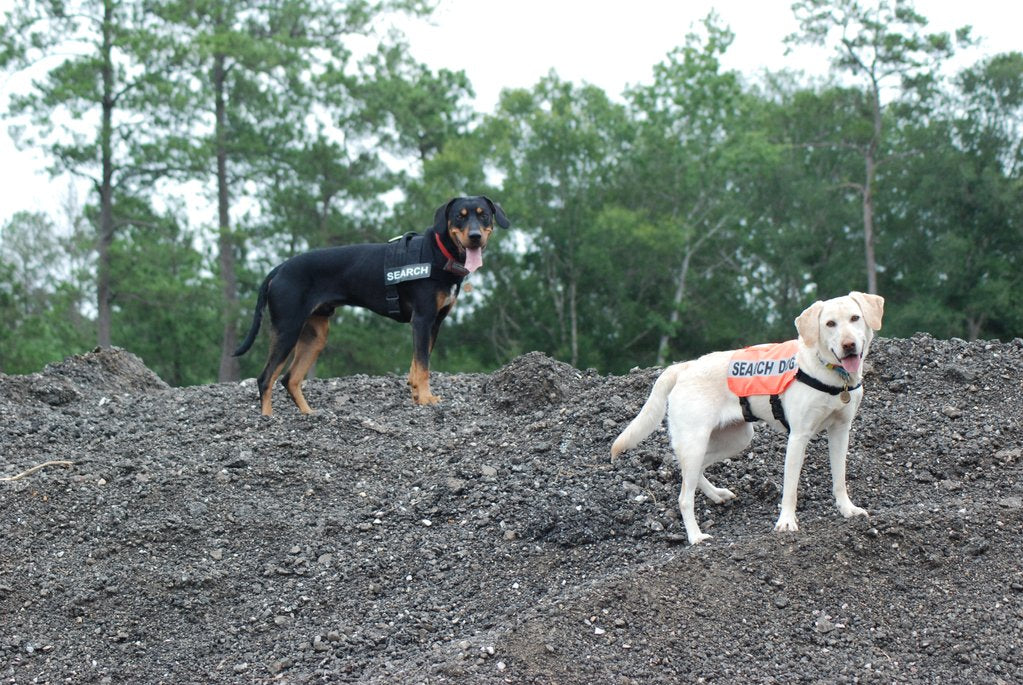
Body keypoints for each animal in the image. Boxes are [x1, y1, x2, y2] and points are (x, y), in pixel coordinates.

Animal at [230, 196, 505, 415]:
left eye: (484, 214)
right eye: (460, 217)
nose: (475, 237)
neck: (438, 253)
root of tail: (279, 269)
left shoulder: (434, 323)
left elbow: (416, 365)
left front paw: (418, 396)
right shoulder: (423, 319)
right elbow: (423, 365)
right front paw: (427, 399)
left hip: (314, 335)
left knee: (290, 379)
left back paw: (309, 413)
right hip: (287, 329)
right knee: (265, 378)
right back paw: (268, 418)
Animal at [609, 290, 883, 548]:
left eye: (855, 318)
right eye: (830, 324)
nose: (849, 345)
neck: (830, 374)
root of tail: (684, 367)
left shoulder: (841, 431)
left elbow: (839, 479)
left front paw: (847, 509)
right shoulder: (798, 436)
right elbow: (790, 487)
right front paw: (786, 522)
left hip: (736, 438)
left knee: (692, 473)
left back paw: (717, 494)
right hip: (696, 441)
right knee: (684, 497)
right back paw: (695, 536)